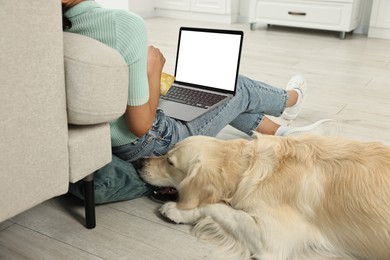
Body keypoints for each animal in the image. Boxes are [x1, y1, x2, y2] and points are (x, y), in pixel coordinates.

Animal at [137, 134, 390, 260]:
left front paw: (177, 210)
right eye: (167, 152)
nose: (138, 162)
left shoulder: (273, 239)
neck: (249, 166)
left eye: (170, 162)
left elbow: (222, 208)